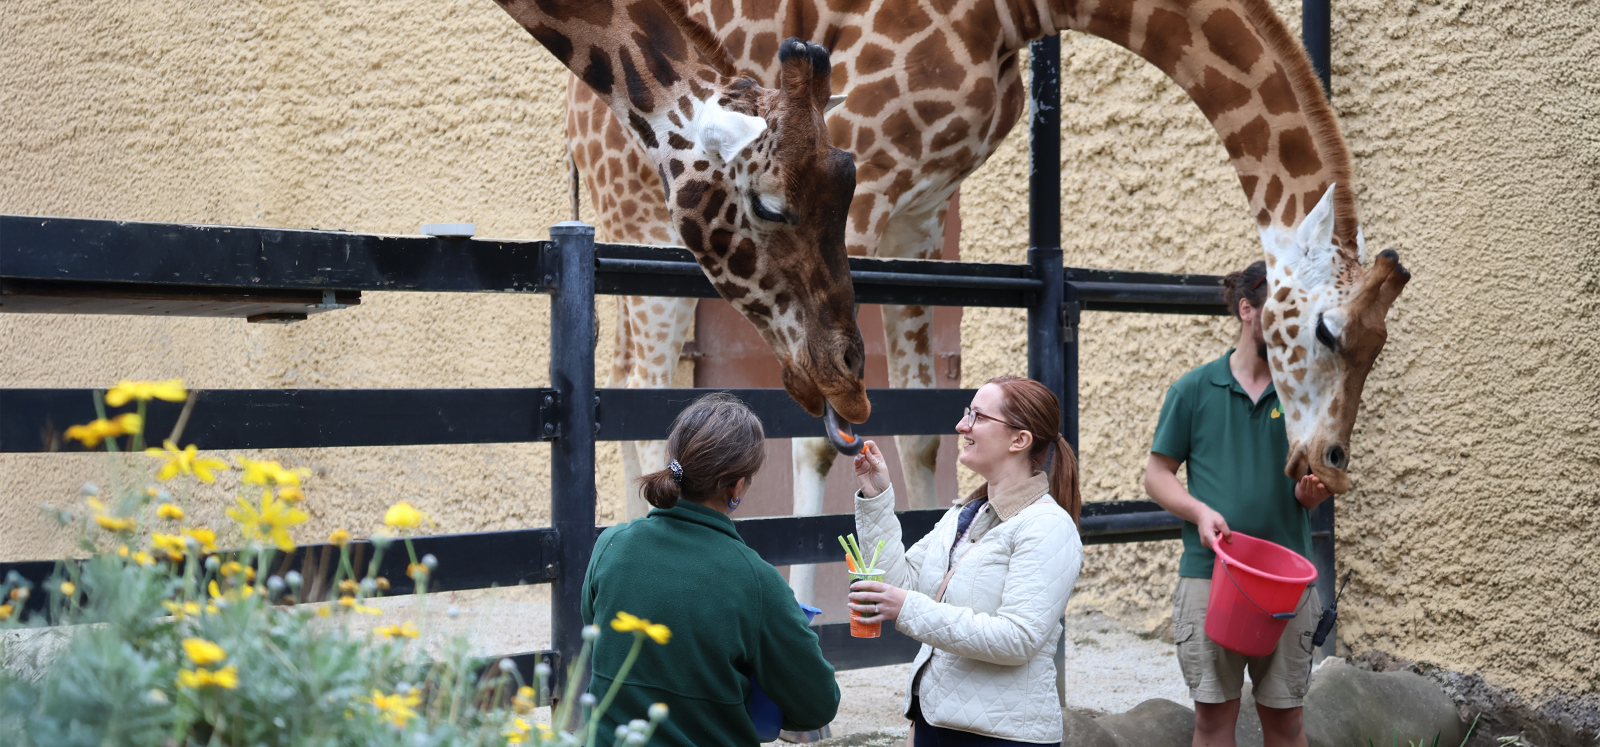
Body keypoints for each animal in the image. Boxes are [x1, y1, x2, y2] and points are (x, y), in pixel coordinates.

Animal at [569, 0, 1407, 590]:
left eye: (1379, 345)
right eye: (1328, 332)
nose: (1329, 464)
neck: (1009, 13)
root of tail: (577, 129)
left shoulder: (917, 214)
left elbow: (918, 426)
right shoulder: (856, 181)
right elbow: (822, 426)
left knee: (628, 372)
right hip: (646, 218)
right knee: (644, 379)